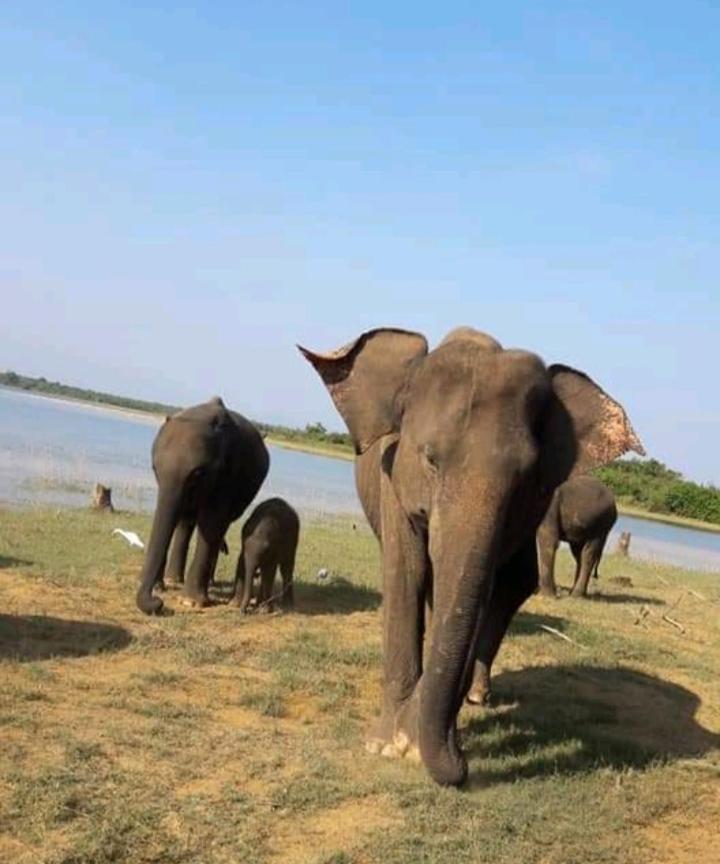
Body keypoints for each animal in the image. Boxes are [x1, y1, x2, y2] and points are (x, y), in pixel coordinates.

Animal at [136, 398, 270, 616]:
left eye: (198, 474)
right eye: (154, 468)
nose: (158, 603)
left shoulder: (230, 474)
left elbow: (211, 522)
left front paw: (189, 602)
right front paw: (162, 588)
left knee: (218, 527)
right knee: (185, 522)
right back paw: (174, 581)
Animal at [300, 328, 644, 788]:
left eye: (525, 480)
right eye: (430, 458)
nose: (461, 768)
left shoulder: (531, 510)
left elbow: (484, 586)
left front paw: (410, 744)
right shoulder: (393, 476)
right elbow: (407, 573)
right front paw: (385, 745)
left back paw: (478, 695)